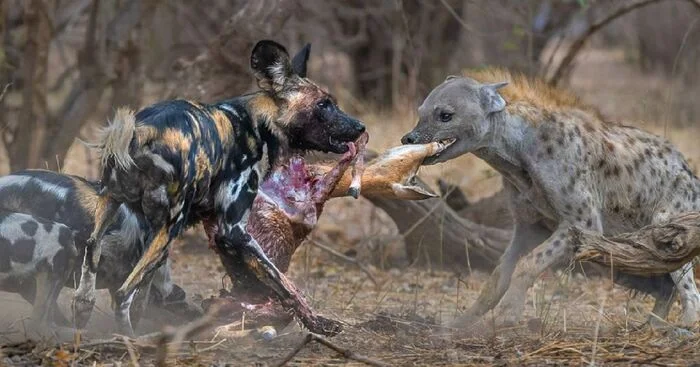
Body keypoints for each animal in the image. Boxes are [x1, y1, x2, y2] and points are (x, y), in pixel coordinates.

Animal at [87, 40, 366, 336]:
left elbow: (145, 296)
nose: (361, 126)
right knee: (122, 293)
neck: (257, 124)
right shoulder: (234, 231)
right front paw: (319, 323)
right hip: (170, 228)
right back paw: (128, 338)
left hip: (116, 215)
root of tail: (141, 132)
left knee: (94, 265)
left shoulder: (210, 231)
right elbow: (284, 283)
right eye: (324, 104)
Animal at [402, 68, 700, 330]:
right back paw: (652, 327)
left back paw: (682, 328)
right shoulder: (529, 225)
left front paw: (508, 314)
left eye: (445, 115)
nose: (409, 138)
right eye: (420, 113)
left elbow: (529, 262)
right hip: (629, 259)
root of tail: (691, 176)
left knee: (688, 289)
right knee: (665, 286)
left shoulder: (583, 223)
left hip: (670, 225)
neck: (516, 156)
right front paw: (459, 324)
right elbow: (499, 274)